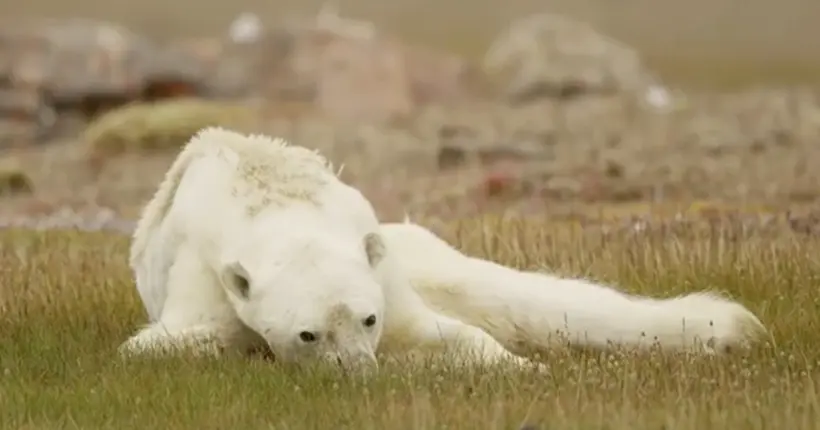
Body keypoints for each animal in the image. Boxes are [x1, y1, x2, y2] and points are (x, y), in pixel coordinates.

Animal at [123, 125, 532, 370]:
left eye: (369, 319)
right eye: (308, 334)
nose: (359, 370)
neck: (282, 209)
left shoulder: (381, 274)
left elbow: (431, 332)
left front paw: (528, 367)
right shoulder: (205, 275)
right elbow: (168, 342)